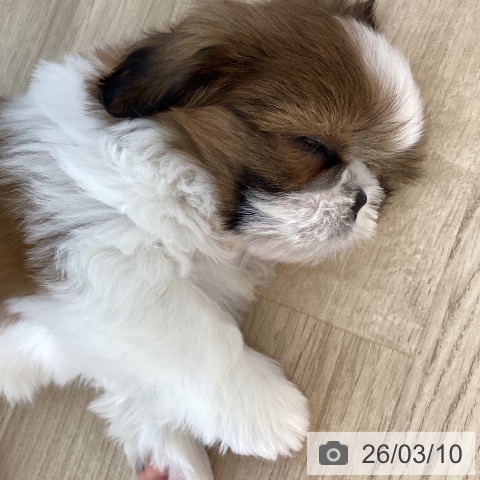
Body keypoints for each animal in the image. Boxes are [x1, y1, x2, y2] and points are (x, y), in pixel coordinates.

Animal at [0, 0, 423, 479]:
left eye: (380, 172)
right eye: (312, 145)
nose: (361, 198)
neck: (177, 177)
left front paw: (164, 451)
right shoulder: (100, 256)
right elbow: (199, 339)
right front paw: (262, 407)